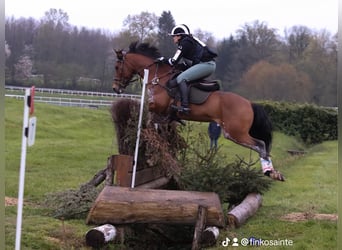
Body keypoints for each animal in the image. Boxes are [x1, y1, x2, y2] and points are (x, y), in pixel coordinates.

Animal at [111, 41, 284, 182]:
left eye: (117, 67)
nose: (115, 89)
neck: (158, 76)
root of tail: (249, 103)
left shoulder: (156, 109)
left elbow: (150, 127)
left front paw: (152, 156)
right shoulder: (163, 115)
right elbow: (158, 130)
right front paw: (158, 153)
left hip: (234, 133)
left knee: (260, 145)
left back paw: (269, 172)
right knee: (262, 146)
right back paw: (273, 173)